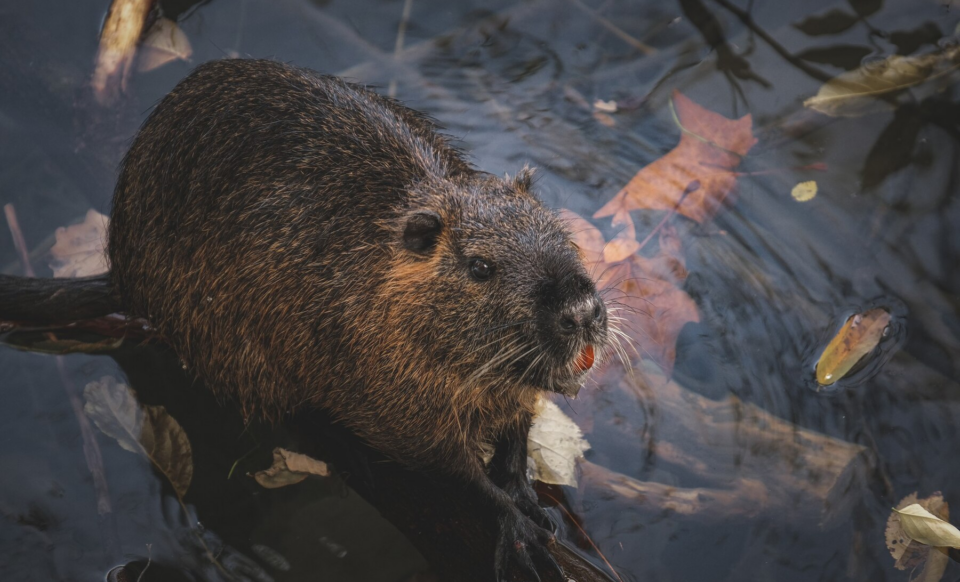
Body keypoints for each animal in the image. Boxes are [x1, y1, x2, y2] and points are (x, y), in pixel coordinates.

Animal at [1, 59, 608, 582]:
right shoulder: (382, 388)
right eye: (480, 267)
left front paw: (525, 493)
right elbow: (446, 466)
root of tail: (121, 276)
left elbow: (517, 428)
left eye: (553, 225)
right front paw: (517, 525)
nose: (581, 311)